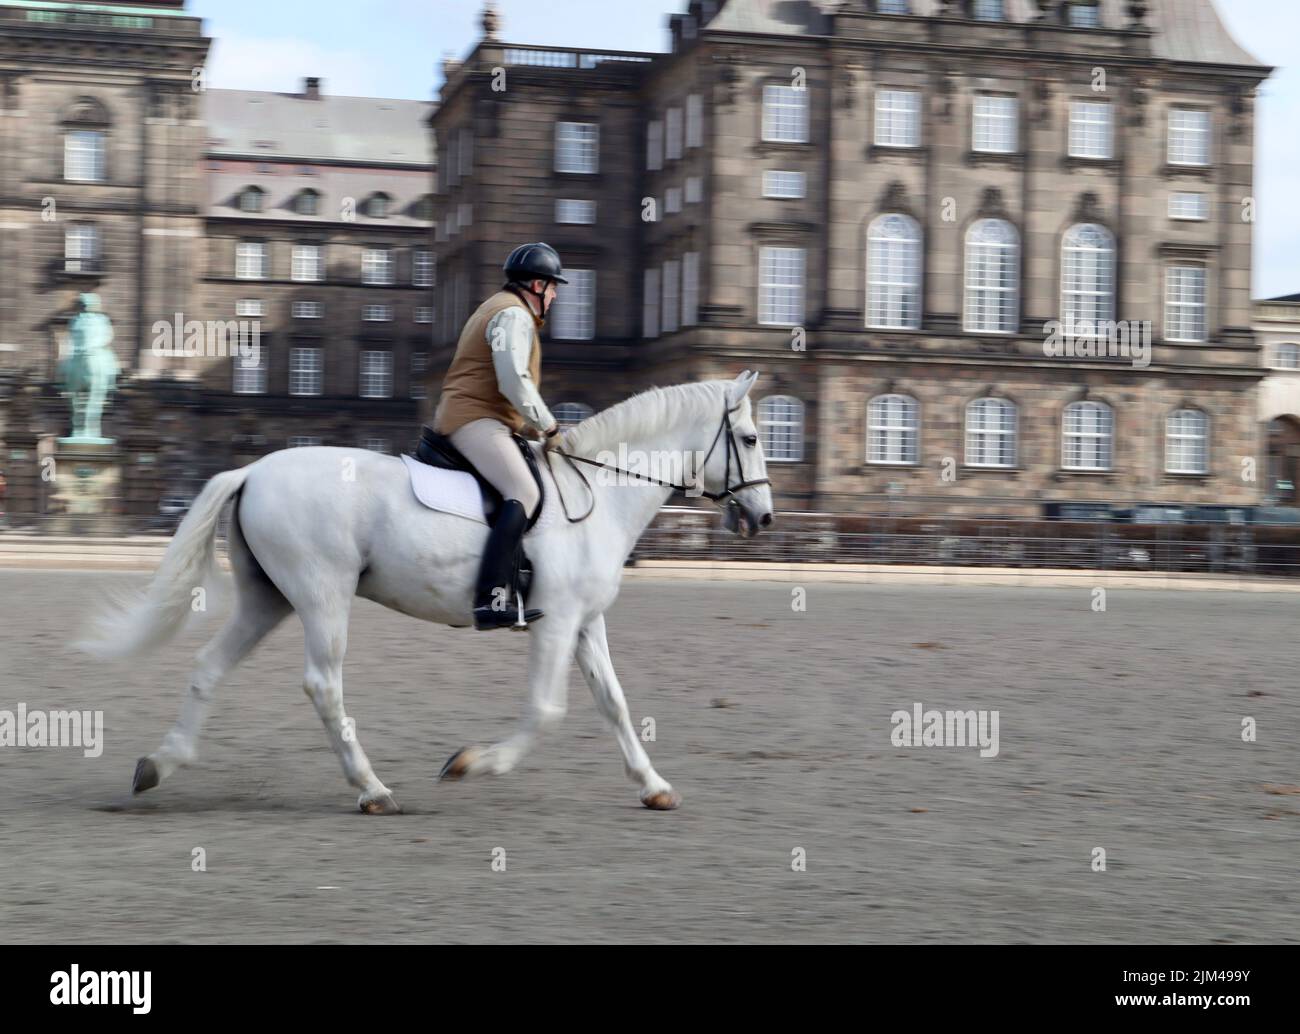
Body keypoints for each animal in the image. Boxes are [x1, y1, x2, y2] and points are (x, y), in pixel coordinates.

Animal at [76, 372, 774, 814]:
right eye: (749, 438)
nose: (763, 518)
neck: (597, 492)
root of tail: (253, 469)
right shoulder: (556, 621)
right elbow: (546, 709)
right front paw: (472, 764)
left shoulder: (584, 622)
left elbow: (615, 704)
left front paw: (653, 786)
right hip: (323, 595)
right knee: (323, 685)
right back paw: (372, 789)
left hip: (267, 598)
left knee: (209, 667)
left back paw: (159, 765)